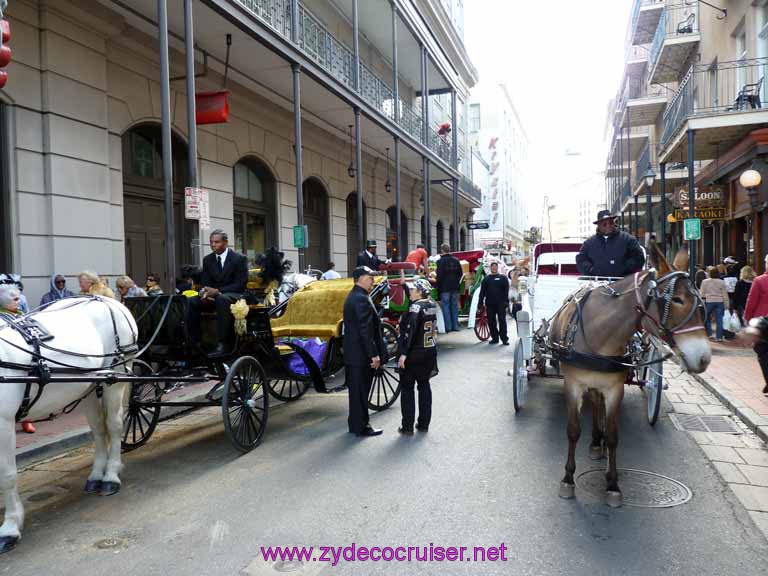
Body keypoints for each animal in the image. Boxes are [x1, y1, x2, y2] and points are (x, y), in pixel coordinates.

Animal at [0, 296, 136, 552]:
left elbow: (7, 476)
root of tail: (107, 299)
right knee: (98, 429)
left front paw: (10, 527)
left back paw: (111, 476)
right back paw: (97, 476)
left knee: (114, 426)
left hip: (115, 378)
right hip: (90, 385)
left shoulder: (3, 423)